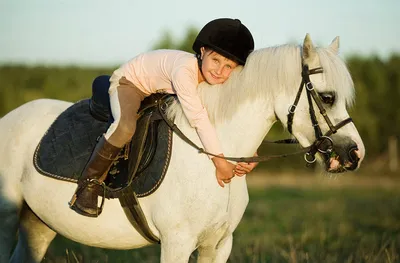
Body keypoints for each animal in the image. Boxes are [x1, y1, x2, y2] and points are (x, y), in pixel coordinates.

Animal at [0, 35, 364, 263]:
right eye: (327, 97)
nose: (354, 154)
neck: (211, 156)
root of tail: (10, 118)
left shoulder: (218, 245)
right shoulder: (176, 244)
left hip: (39, 223)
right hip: (8, 216)